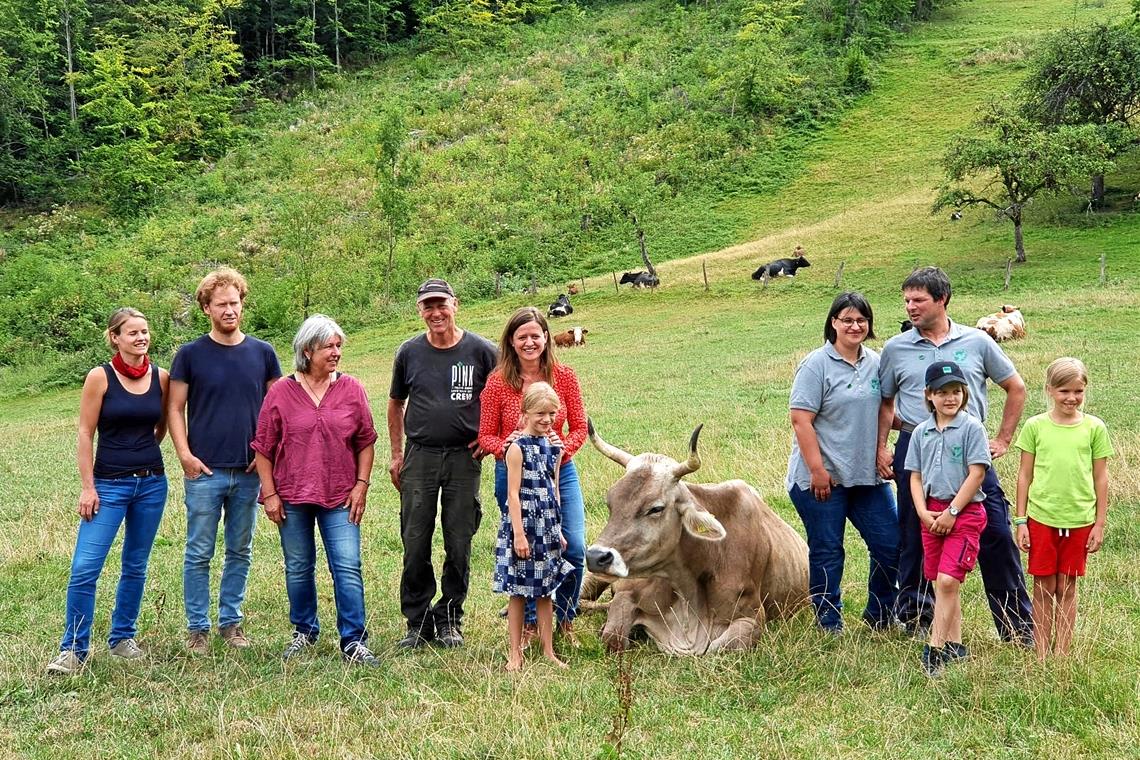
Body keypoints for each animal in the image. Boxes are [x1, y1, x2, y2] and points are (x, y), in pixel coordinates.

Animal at [579, 421, 811, 656]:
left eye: (656, 508)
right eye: (611, 502)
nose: (596, 556)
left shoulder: (751, 617)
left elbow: (717, 648)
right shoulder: (626, 594)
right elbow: (613, 636)